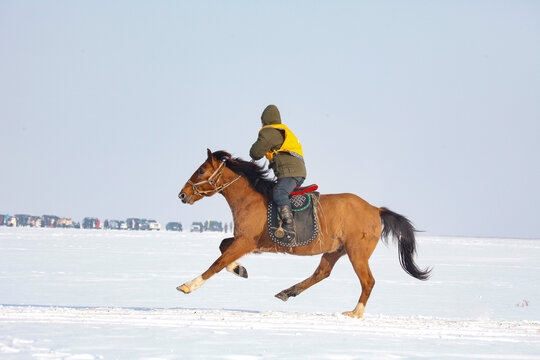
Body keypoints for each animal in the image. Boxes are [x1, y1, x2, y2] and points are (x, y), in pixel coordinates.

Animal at [177, 149, 430, 318]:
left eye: (201, 170)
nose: (182, 194)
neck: (251, 198)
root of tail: (376, 209)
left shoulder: (246, 241)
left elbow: (217, 263)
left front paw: (189, 285)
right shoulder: (246, 241)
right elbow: (222, 247)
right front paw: (240, 269)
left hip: (357, 253)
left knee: (368, 281)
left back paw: (354, 313)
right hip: (334, 250)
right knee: (321, 273)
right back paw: (287, 292)